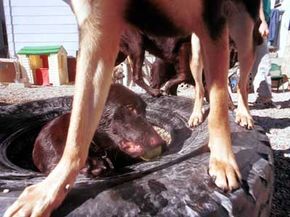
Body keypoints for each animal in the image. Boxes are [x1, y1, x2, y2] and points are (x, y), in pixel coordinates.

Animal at [3, 0, 260, 216]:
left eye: (145, 112)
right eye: (129, 110)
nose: (160, 143)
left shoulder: (211, 26)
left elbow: (216, 100)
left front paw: (222, 158)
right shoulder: (98, 26)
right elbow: (77, 131)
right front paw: (51, 190)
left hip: (239, 35)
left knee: (239, 81)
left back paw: (242, 114)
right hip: (149, 46)